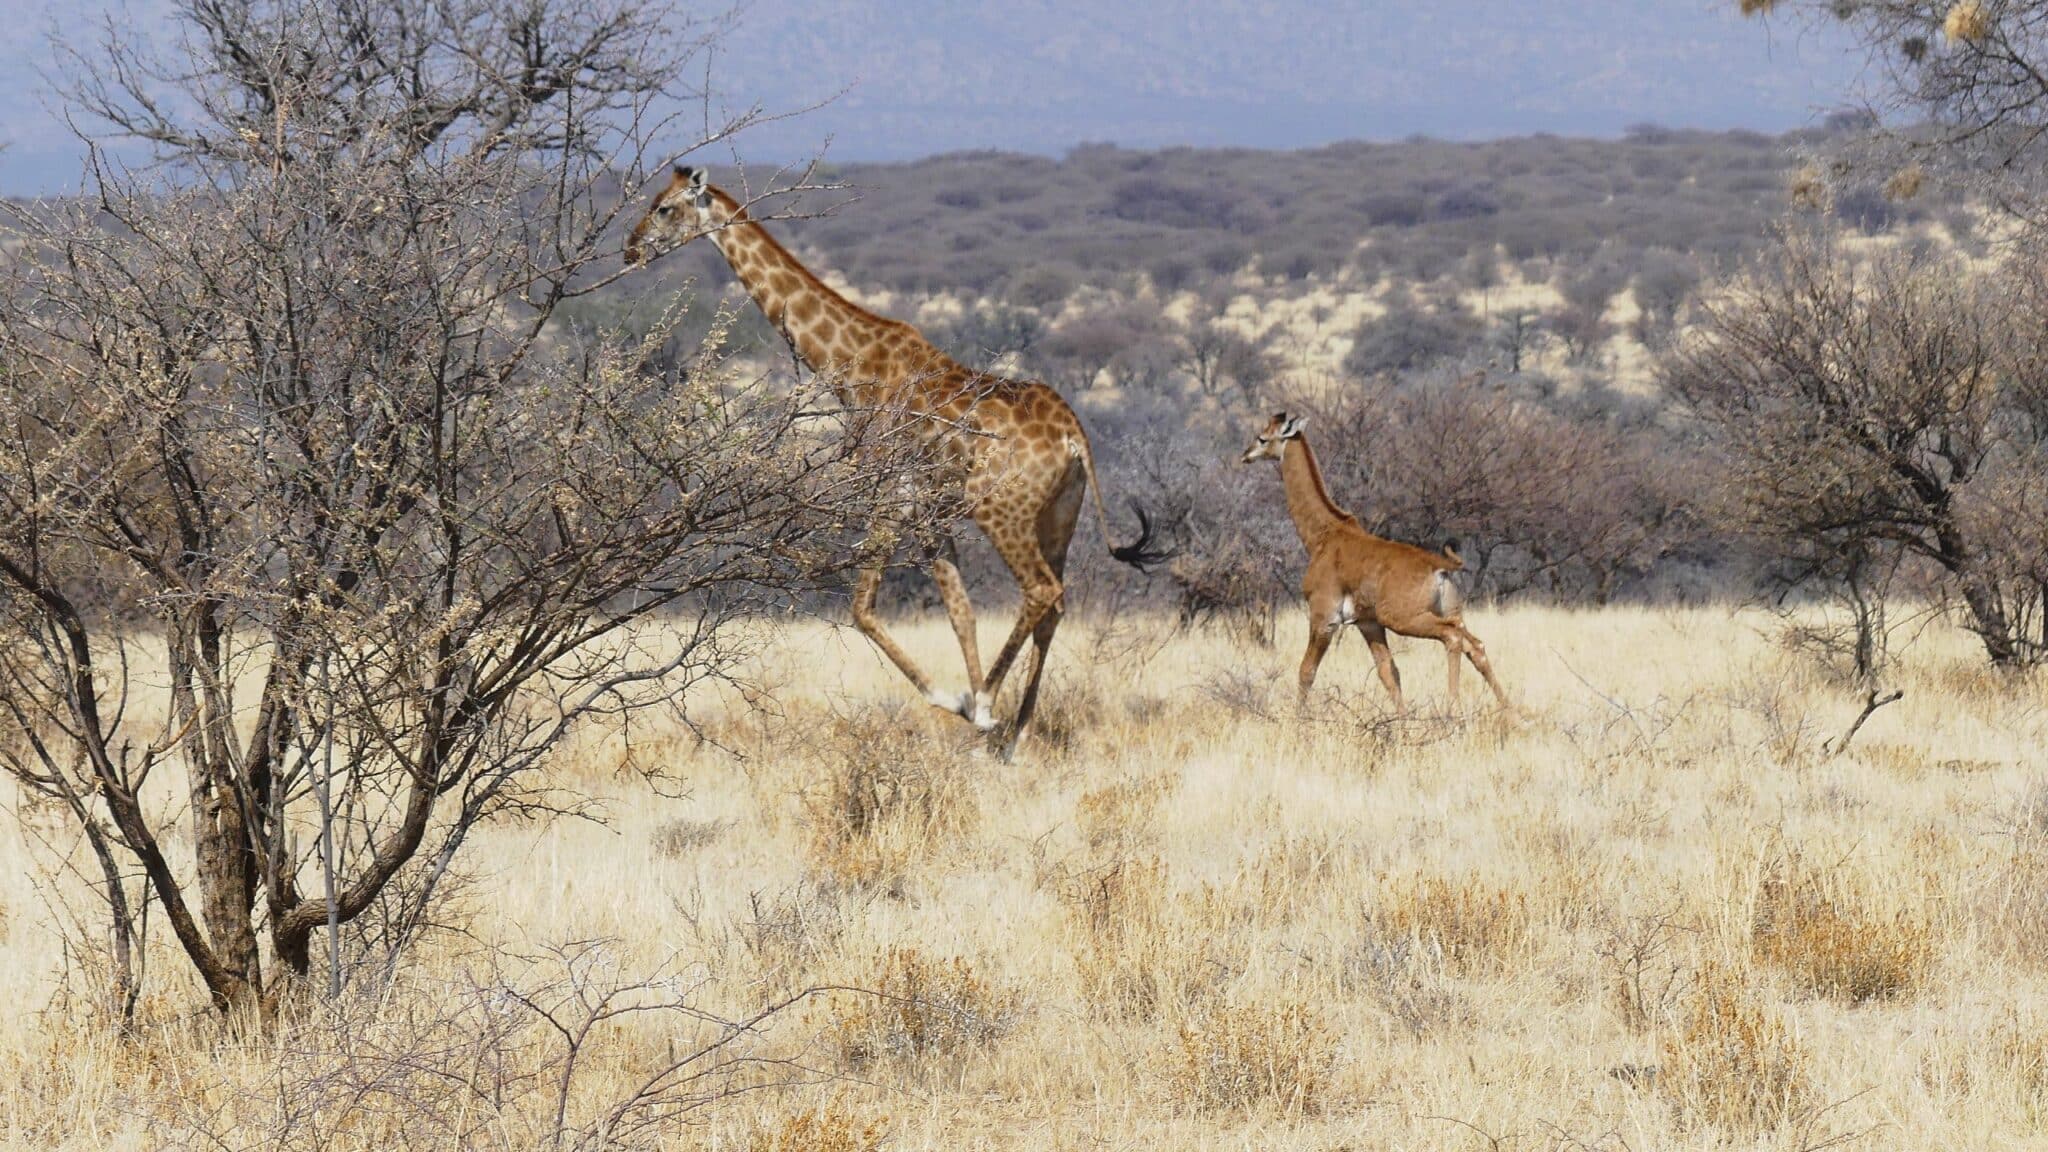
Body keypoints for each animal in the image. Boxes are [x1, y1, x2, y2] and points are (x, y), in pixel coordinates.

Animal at [622, 163, 1171, 754]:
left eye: (664, 209)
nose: (629, 249)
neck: (852, 365)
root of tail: (1074, 435)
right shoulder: (928, 510)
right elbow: (960, 610)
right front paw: (976, 716)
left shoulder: (888, 494)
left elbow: (862, 609)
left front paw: (964, 702)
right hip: (1059, 514)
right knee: (1056, 604)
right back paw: (1017, 734)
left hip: (999, 508)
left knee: (1042, 590)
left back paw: (989, 706)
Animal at [1236, 403, 1515, 709]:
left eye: (1263, 438)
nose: (1246, 455)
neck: (1324, 535)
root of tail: (1439, 567)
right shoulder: (1367, 622)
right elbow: (1389, 672)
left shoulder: (1324, 617)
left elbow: (1306, 671)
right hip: (1451, 614)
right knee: (1475, 646)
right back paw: (1508, 711)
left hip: (1404, 619)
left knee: (1452, 638)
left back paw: (1452, 709)